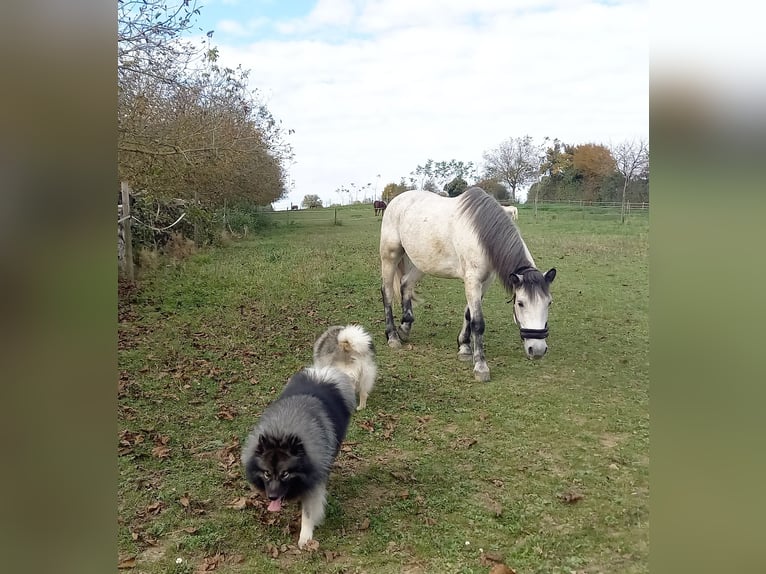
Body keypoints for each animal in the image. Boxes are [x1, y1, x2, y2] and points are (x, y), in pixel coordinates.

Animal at [379, 187, 556, 382]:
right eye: (520, 303)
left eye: (549, 303)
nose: (537, 350)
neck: (481, 234)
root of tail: (397, 200)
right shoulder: (473, 280)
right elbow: (478, 322)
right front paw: (480, 365)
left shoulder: (485, 282)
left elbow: (468, 314)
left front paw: (464, 347)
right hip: (390, 256)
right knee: (387, 292)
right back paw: (393, 336)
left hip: (422, 263)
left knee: (405, 284)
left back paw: (405, 327)